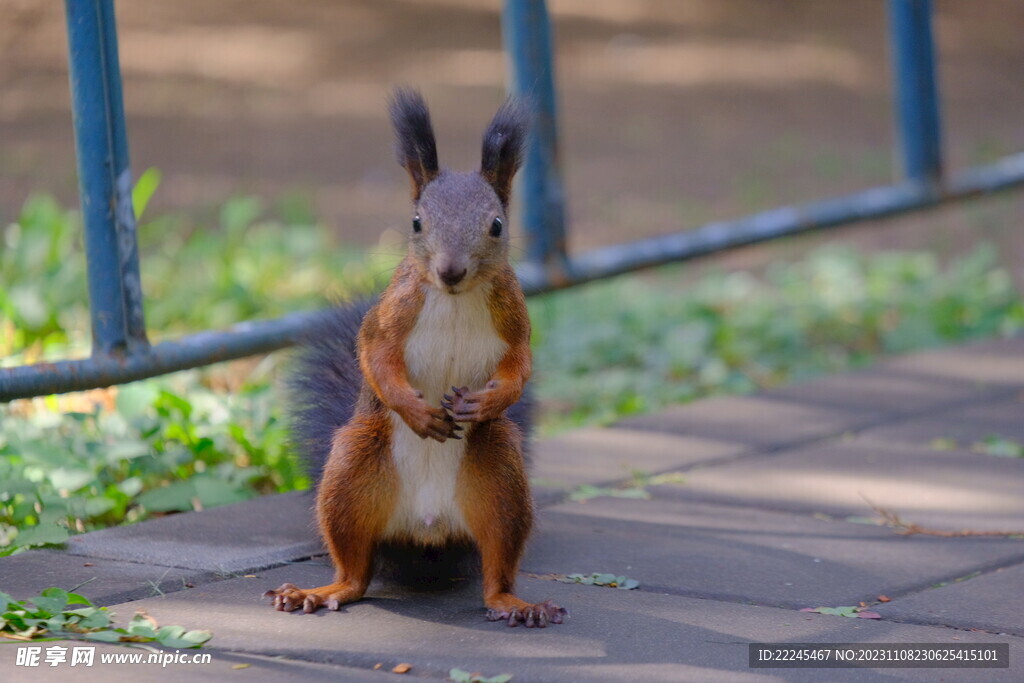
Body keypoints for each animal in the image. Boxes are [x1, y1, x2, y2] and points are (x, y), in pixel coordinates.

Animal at [266, 88, 569, 626]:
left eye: (496, 225)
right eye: (416, 222)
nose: (450, 270)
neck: (454, 298)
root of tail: (427, 526)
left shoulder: (517, 323)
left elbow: (519, 367)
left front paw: (485, 402)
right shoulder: (389, 316)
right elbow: (375, 358)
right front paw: (417, 412)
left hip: (501, 481)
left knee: (496, 569)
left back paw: (517, 604)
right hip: (350, 474)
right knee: (356, 571)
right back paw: (319, 591)